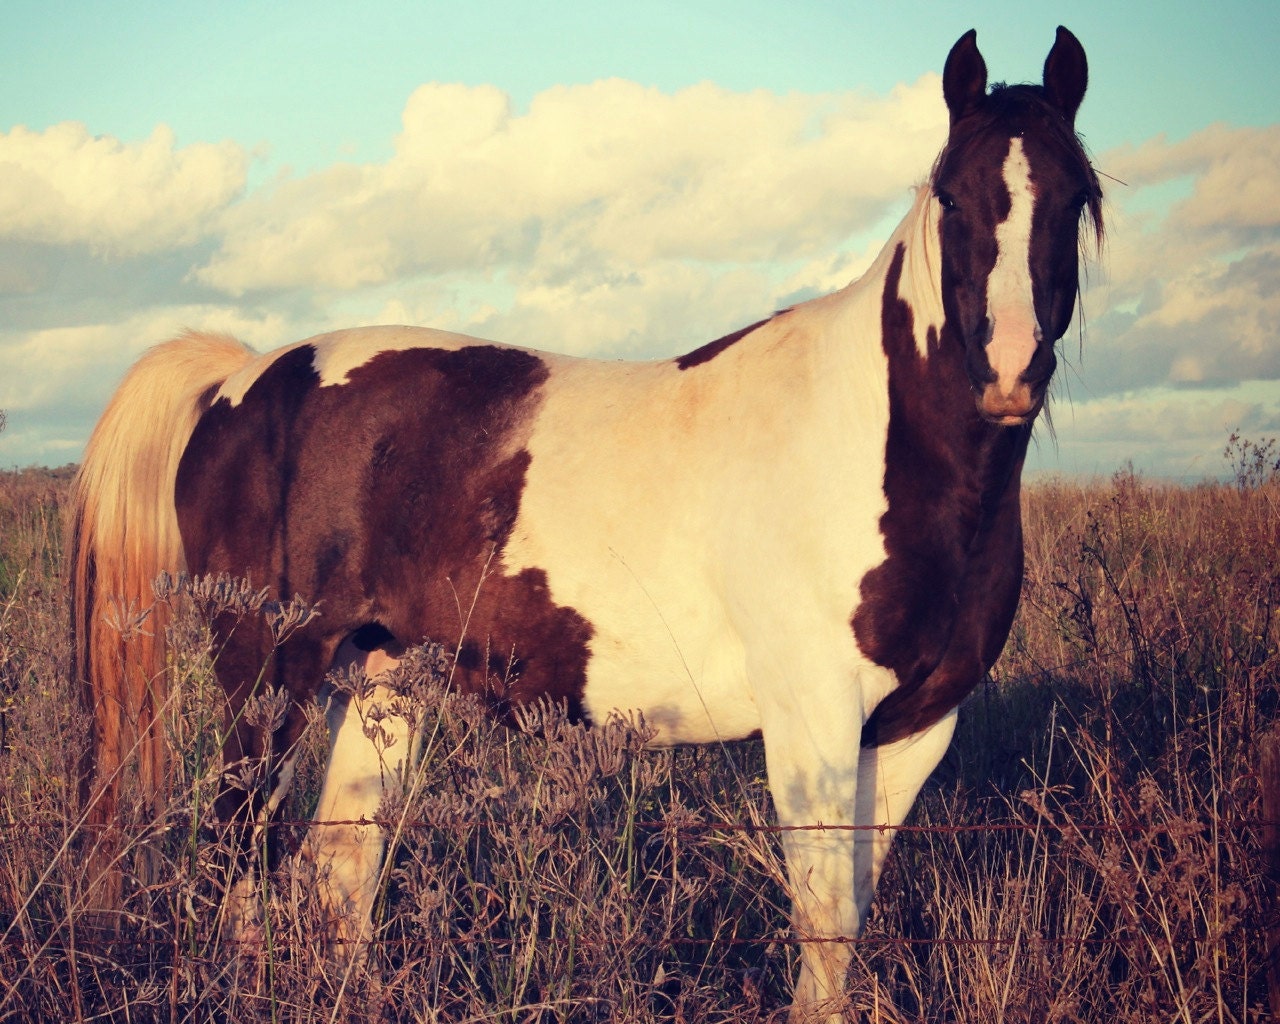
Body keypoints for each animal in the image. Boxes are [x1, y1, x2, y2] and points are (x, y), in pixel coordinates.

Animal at [70, 26, 1102, 1022]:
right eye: (952, 198)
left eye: (1078, 197)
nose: (1010, 370)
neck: (871, 440)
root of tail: (243, 378)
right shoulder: (812, 722)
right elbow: (825, 921)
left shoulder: (912, 731)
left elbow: (848, 920)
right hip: (267, 682)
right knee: (238, 851)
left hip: (380, 684)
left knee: (334, 872)